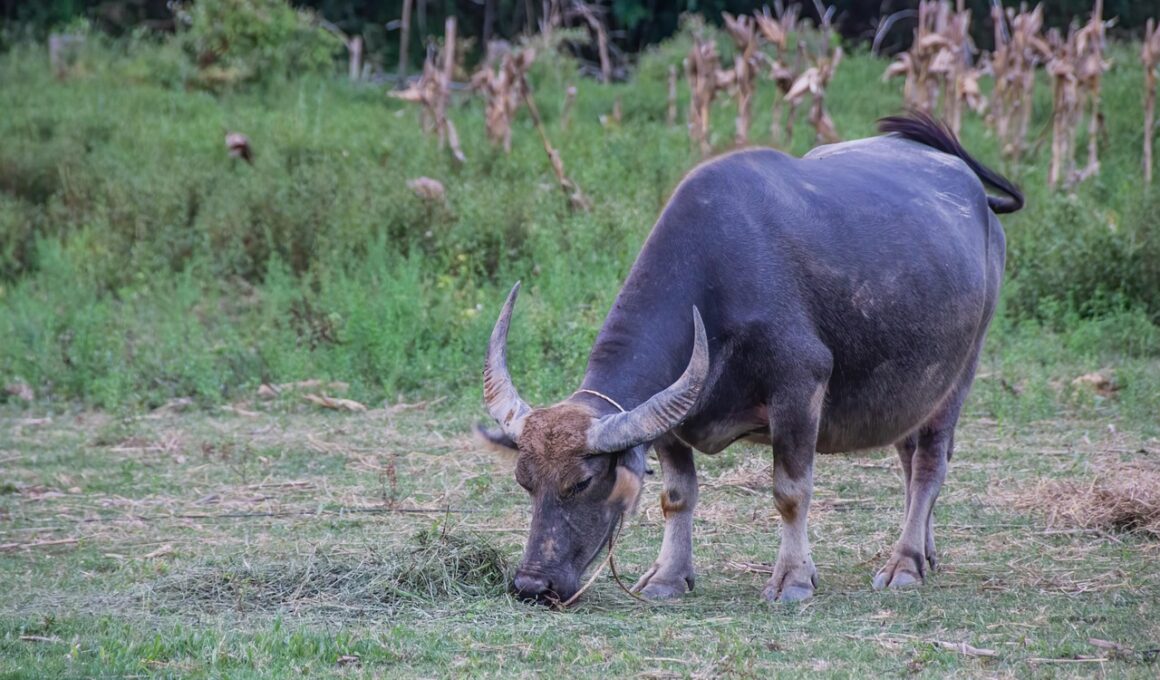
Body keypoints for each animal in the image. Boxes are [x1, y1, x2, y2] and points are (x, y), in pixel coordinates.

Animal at [477, 112, 1023, 604]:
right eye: (524, 481)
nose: (532, 585)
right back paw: (926, 553)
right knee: (912, 459)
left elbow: (790, 491)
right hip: (912, 390)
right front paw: (668, 577)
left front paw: (793, 579)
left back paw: (905, 564)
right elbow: (677, 495)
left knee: (931, 462)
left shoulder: (799, 389)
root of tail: (975, 194)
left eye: (583, 482)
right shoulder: (671, 416)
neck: (717, 281)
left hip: (960, 372)